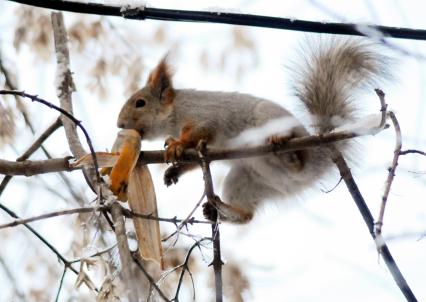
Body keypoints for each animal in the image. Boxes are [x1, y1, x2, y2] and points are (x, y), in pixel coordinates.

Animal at [116, 38, 390, 224]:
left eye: (140, 103)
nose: (119, 124)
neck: (175, 113)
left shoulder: (205, 114)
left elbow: (200, 132)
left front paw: (176, 144)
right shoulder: (209, 148)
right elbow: (196, 158)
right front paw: (174, 171)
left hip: (267, 119)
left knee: (296, 159)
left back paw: (287, 150)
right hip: (248, 178)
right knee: (248, 215)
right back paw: (222, 210)